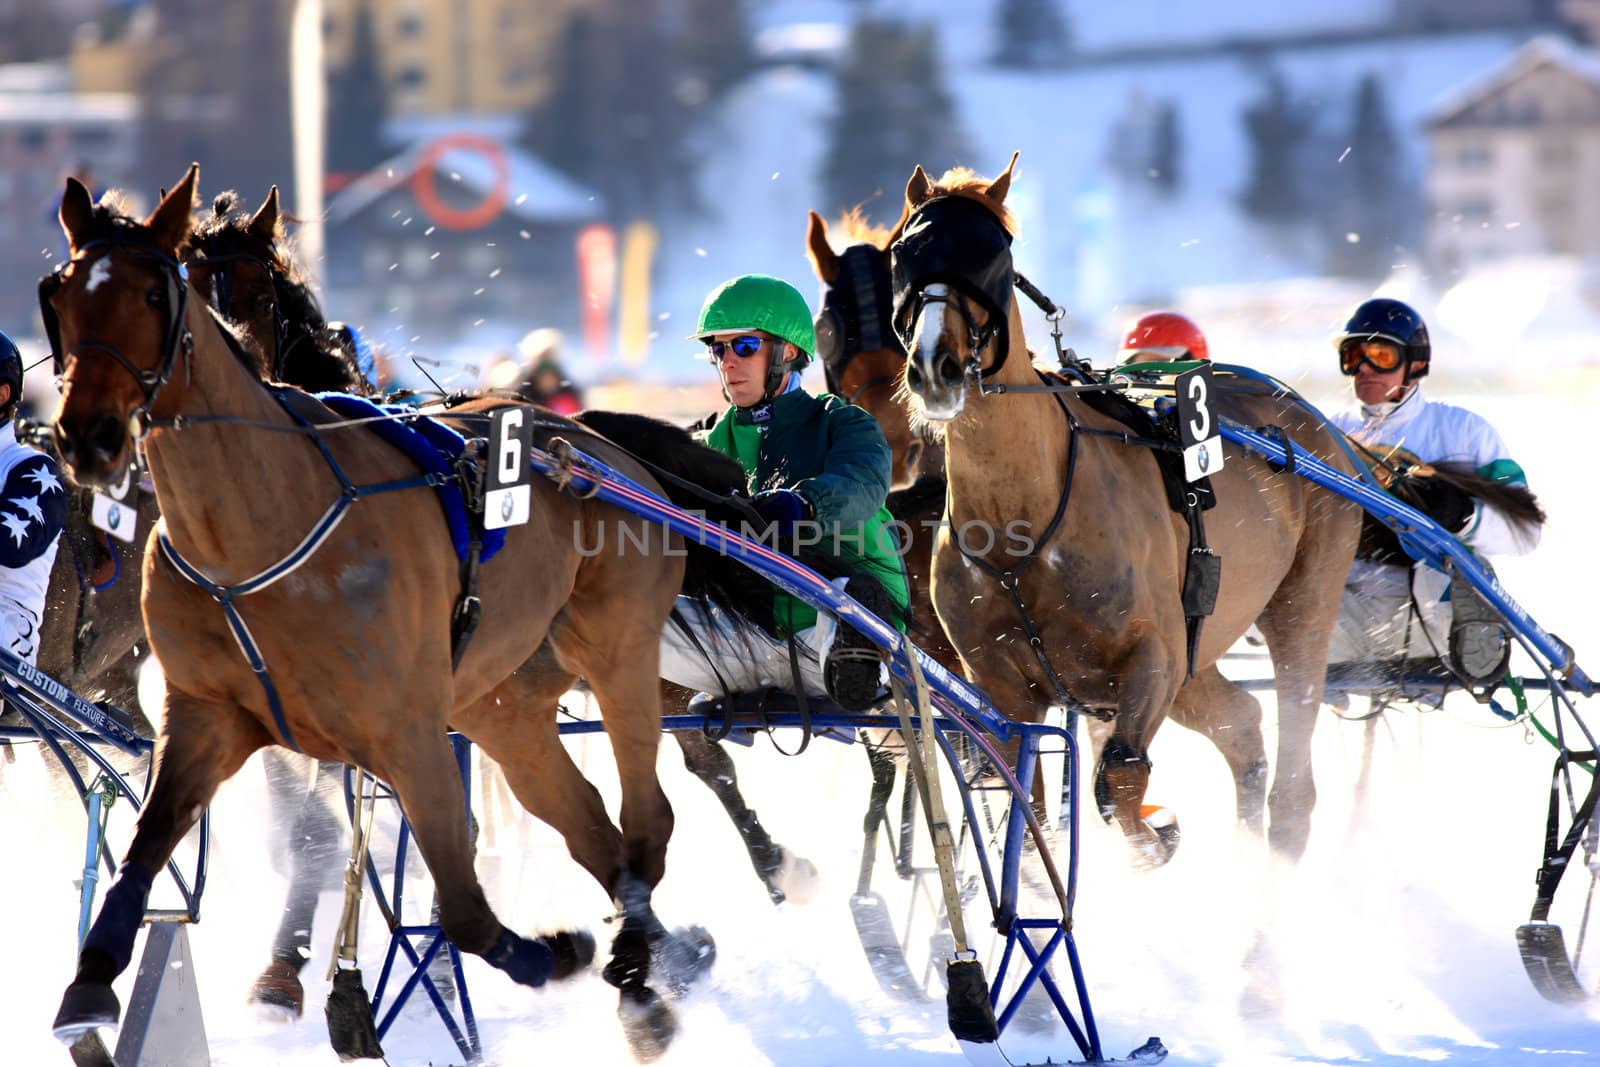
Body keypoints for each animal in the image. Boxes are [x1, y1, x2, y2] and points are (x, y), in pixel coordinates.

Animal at [46, 171, 700, 1055]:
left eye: (154, 292)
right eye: (60, 294)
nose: (89, 434)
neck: (255, 535)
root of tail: (594, 444)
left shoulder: (406, 730)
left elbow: (460, 905)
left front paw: (550, 951)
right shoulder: (205, 714)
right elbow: (146, 853)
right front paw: (90, 983)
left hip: (617, 649)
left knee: (644, 819)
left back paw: (641, 971)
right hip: (501, 701)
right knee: (593, 826)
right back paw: (656, 959)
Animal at [889, 154, 1363, 863]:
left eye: (991, 253)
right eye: (905, 252)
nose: (933, 365)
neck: (1020, 524)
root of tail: (1312, 422)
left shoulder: (1152, 658)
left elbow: (1118, 776)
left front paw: (1155, 836)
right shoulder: (998, 685)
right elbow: (1022, 803)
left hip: (1305, 594)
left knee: (1293, 778)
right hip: (1203, 651)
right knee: (1242, 724)